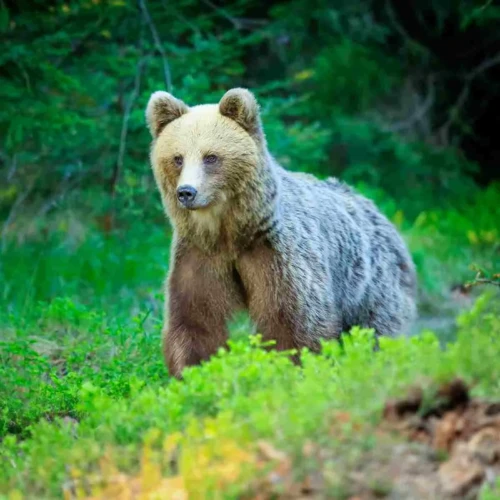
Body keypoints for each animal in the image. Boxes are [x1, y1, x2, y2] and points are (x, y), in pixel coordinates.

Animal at [146, 88, 418, 376]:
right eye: (177, 158)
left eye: (211, 157)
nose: (186, 192)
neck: (231, 232)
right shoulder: (199, 254)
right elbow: (195, 320)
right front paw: (194, 372)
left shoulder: (276, 253)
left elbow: (294, 321)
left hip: (372, 286)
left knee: (376, 334)